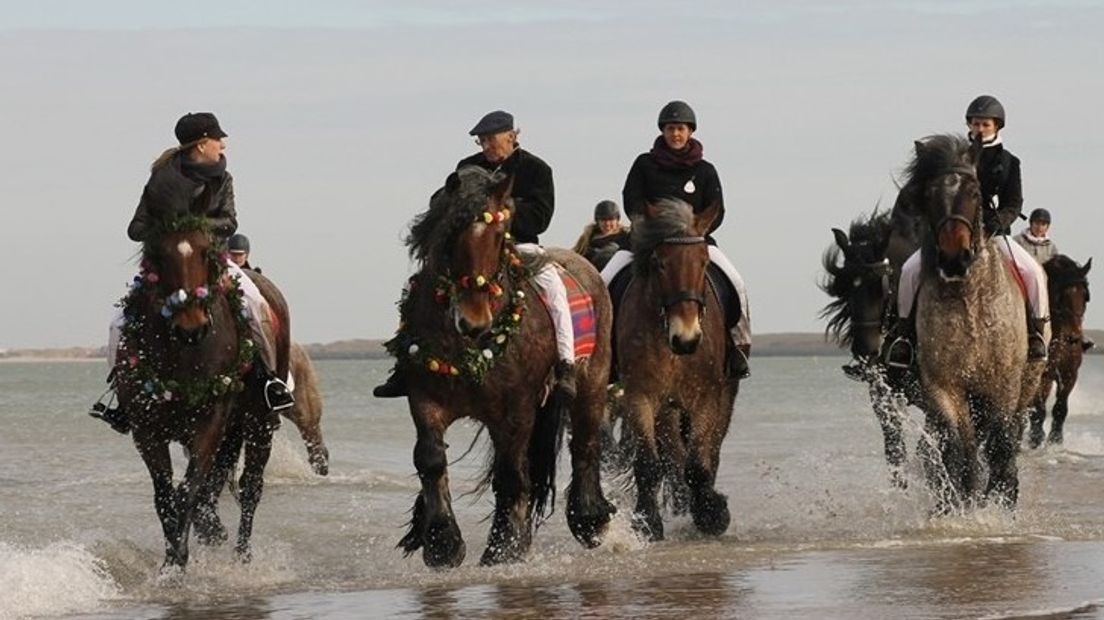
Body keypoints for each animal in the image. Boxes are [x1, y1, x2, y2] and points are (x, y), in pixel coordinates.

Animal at [114, 223, 287, 569]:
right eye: (159, 254)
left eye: (207, 252)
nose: (191, 327)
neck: (180, 357)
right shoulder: (146, 431)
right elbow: (166, 497)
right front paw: (173, 559)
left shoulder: (209, 424)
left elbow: (188, 490)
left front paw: (178, 561)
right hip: (232, 432)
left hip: (258, 423)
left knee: (251, 486)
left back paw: (242, 555)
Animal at [386, 164, 613, 564]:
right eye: (451, 236)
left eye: (499, 236)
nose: (474, 321)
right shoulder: (426, 400)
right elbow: (430, 458)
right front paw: (442, 541)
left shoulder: (515, 409)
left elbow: (509, 473)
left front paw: (503, 547)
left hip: (592, 384)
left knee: (585, 443)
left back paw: (589, 519)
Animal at [613, 198, 741, 540]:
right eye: (659, 263)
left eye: (703, 262)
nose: (687, 339)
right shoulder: (640, 396)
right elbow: (649, 463)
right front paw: (646, 522)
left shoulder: (707, 397)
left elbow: (698, 463)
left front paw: (711, 513)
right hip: (667, 408)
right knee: (672, 454)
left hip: (726, 395)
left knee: (711, 451)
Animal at [1024, 253, 1095, 445]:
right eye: (1059, 295)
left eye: (1085, 296)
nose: (1075, 338)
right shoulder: (1043, 375)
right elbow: (1039, 409)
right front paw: (1036, 438)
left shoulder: (1070, 374)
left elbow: (1060, 408)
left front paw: (1056, 439)